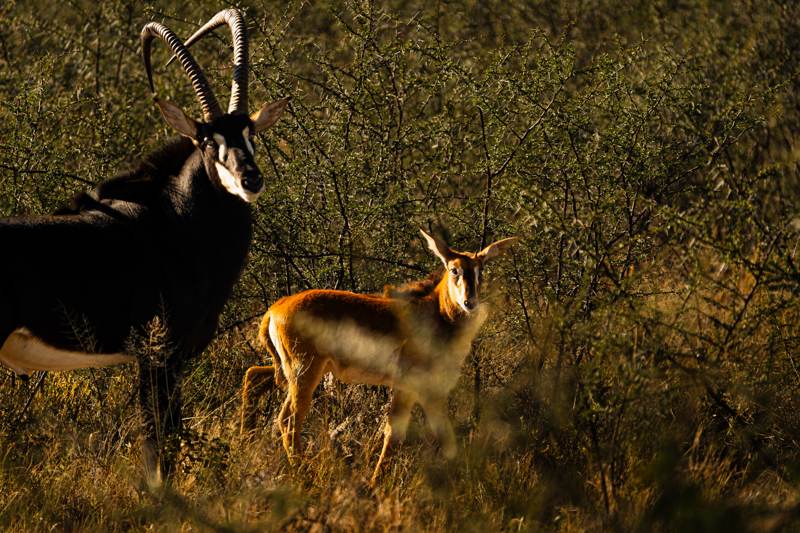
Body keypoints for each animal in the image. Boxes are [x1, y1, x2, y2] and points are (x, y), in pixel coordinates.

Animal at [0, 9, 287, 484]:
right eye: (207, 141)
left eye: (249, 134)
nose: (251, 179)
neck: (176, 219)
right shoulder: (159, 358)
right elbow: (159, 448)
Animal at [241, 230, 517, 482]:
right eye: (453, 270)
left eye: (480, 270)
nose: (470, 302)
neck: (437, 313)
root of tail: (275, 309)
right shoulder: (408, 386)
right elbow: (394, 433)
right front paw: (376, 483)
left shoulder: (431, 392)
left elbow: (445, 435)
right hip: (304, 373)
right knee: (288, 420)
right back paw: (302, 472)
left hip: (294, 370)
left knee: (254, 376)